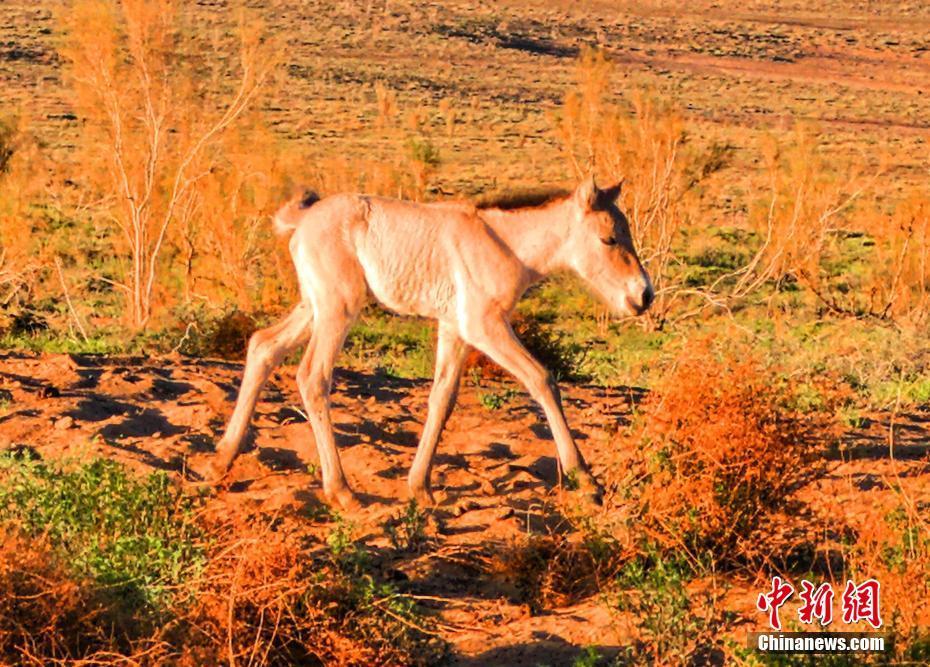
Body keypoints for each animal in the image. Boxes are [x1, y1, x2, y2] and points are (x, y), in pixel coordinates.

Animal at [208, 175, 652, 508]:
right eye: (609, 239)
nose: (644, 295)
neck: (505, 243)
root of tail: (303, 220)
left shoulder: (454, 329)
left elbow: (442, 398)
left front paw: (420, 486)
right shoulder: (484, 326)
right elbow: (542, 379)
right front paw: (585, 477)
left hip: (313, 307)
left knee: (263, 346)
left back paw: (221, 460)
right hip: (338, 309)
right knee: (312, 377)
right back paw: (341, 491)